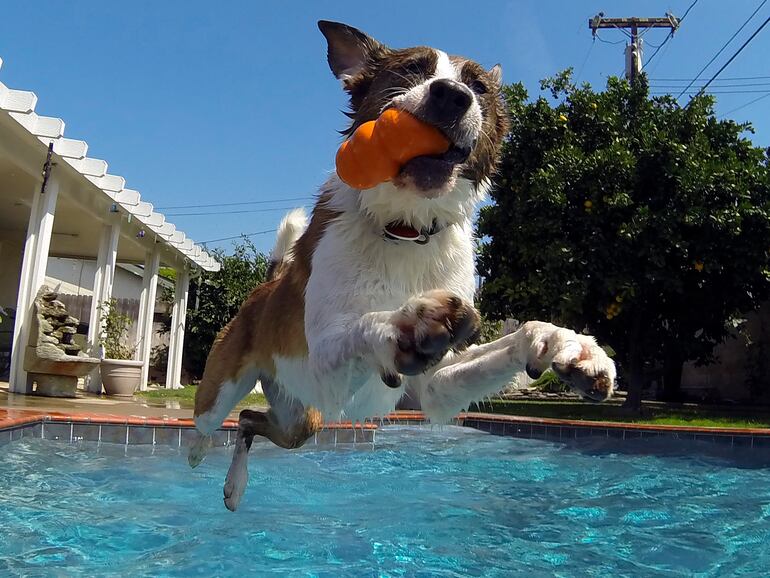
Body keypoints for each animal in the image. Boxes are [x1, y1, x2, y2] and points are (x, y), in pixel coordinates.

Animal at [189, 21, 616, 508]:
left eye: (478, 87)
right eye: (413, 68)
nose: (451, 95)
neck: (406, 228)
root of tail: (262, 291)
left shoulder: (433, 388)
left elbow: (518, 336)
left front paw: (572, 347)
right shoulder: (322, 358)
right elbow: (363, 325)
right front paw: (406, 323)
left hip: (303, 420)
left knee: (248, 420)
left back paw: (234, 486)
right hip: (230, 389)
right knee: (212, 420)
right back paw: (201, 453)